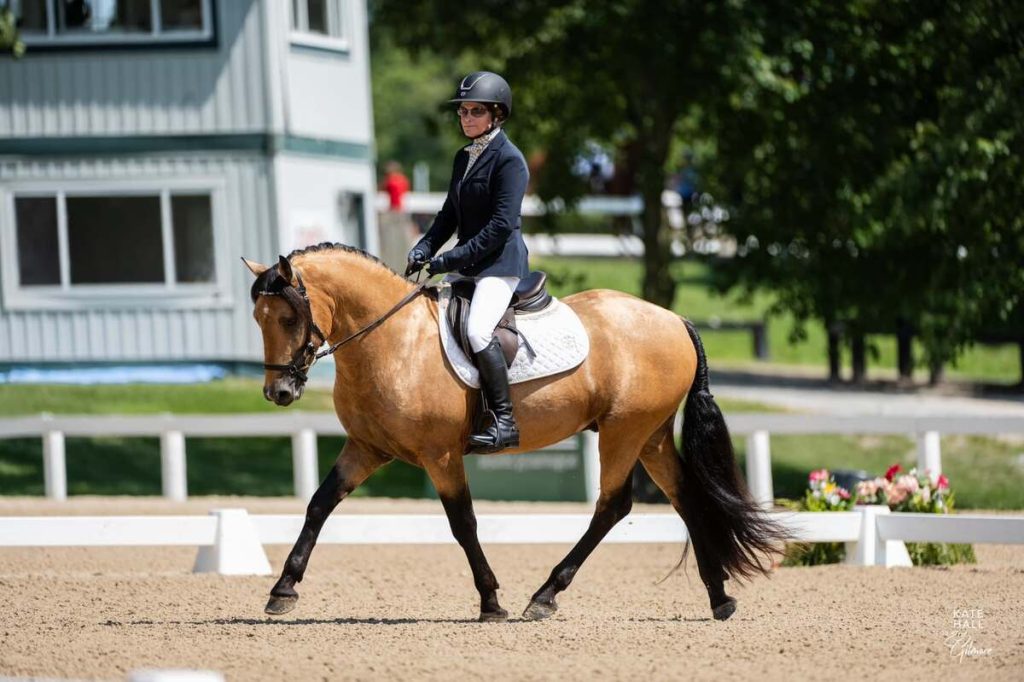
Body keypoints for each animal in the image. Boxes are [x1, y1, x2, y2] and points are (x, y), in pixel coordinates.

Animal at [241, 244, 782, 622]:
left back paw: (545, 596)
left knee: (613, 506)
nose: (279, 392)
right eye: (257, 319)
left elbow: (463, 523)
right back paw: (719, 598)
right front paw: (283, 590)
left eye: (288, 317)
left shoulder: (440, 454)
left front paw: (490, 600)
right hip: (649, 435)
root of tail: (674, 318)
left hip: (624, 432)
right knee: (684, 497)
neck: (393, 342)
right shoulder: (367, 448)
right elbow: (319, 505)